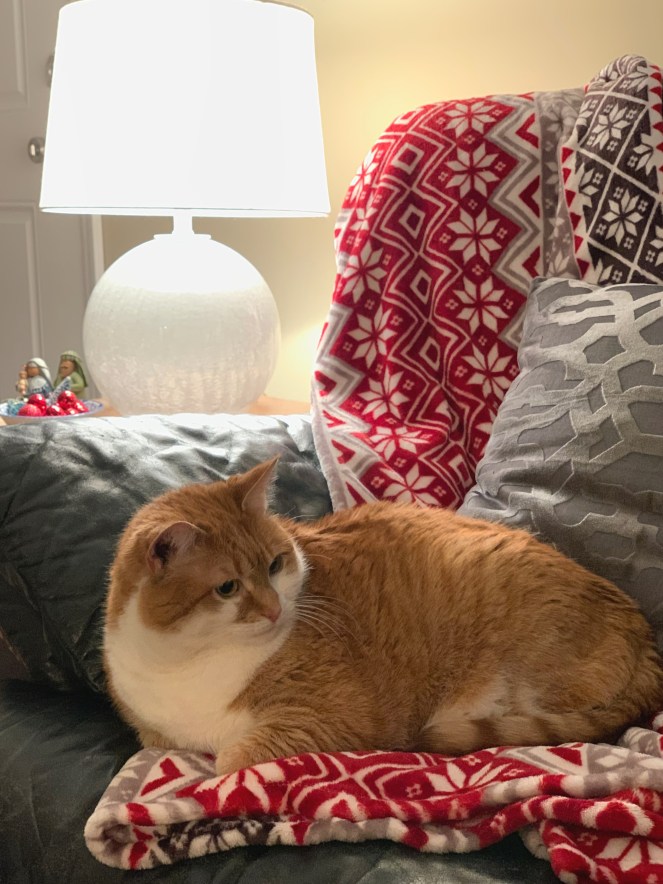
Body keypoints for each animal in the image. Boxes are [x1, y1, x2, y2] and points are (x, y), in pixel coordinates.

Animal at [103, 458, 663, 776]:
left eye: (276, 564)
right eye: (227, 588)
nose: (276, 608)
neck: (186, 664)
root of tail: (641, 628)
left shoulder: (332, 716)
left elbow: (231, 760)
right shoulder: (155, 736)